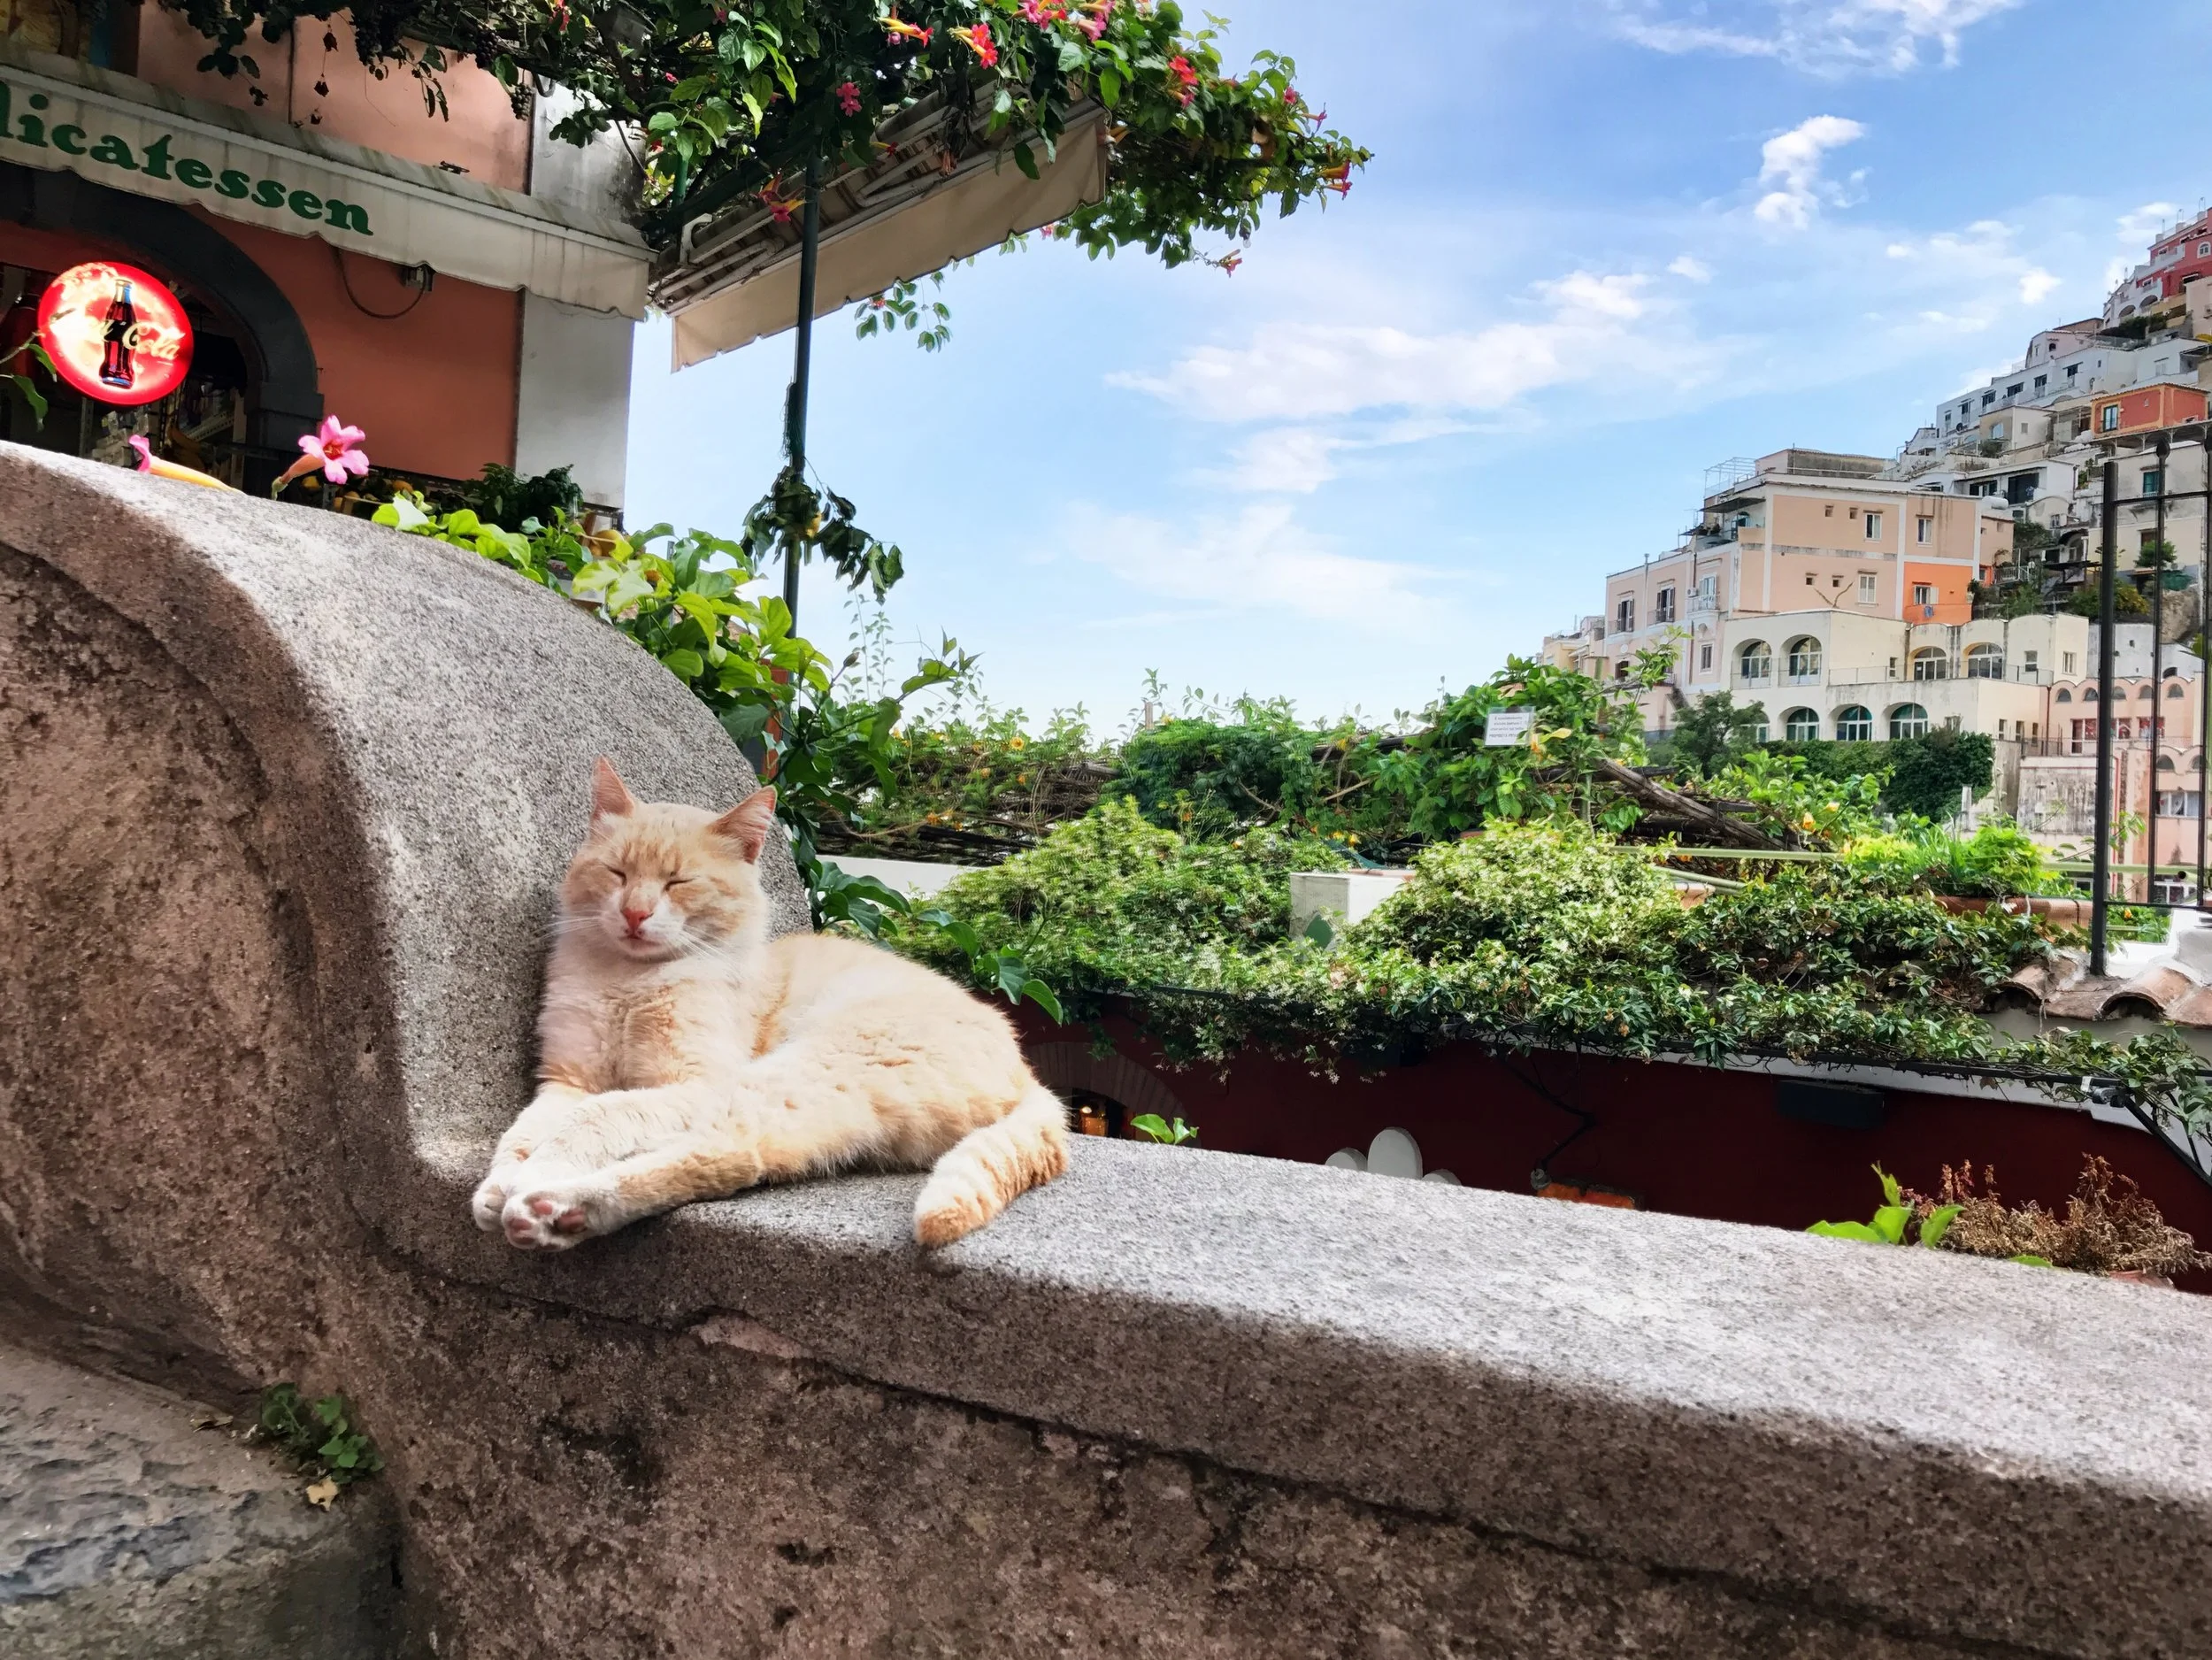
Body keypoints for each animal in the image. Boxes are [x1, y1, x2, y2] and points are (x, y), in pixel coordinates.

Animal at [472, 758, 1068, 1251]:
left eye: (679, 881)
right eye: (617, 872)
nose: (636, 914)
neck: (629, 981)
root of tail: (1025, 1070)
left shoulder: (693, 1083)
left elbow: (594, 1117)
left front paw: (532, 1176)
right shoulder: (565, 1080)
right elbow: (525, 1132)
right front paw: (497, 1186)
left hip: (799, 1073)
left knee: (731, 1153)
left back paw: (556, 1206)